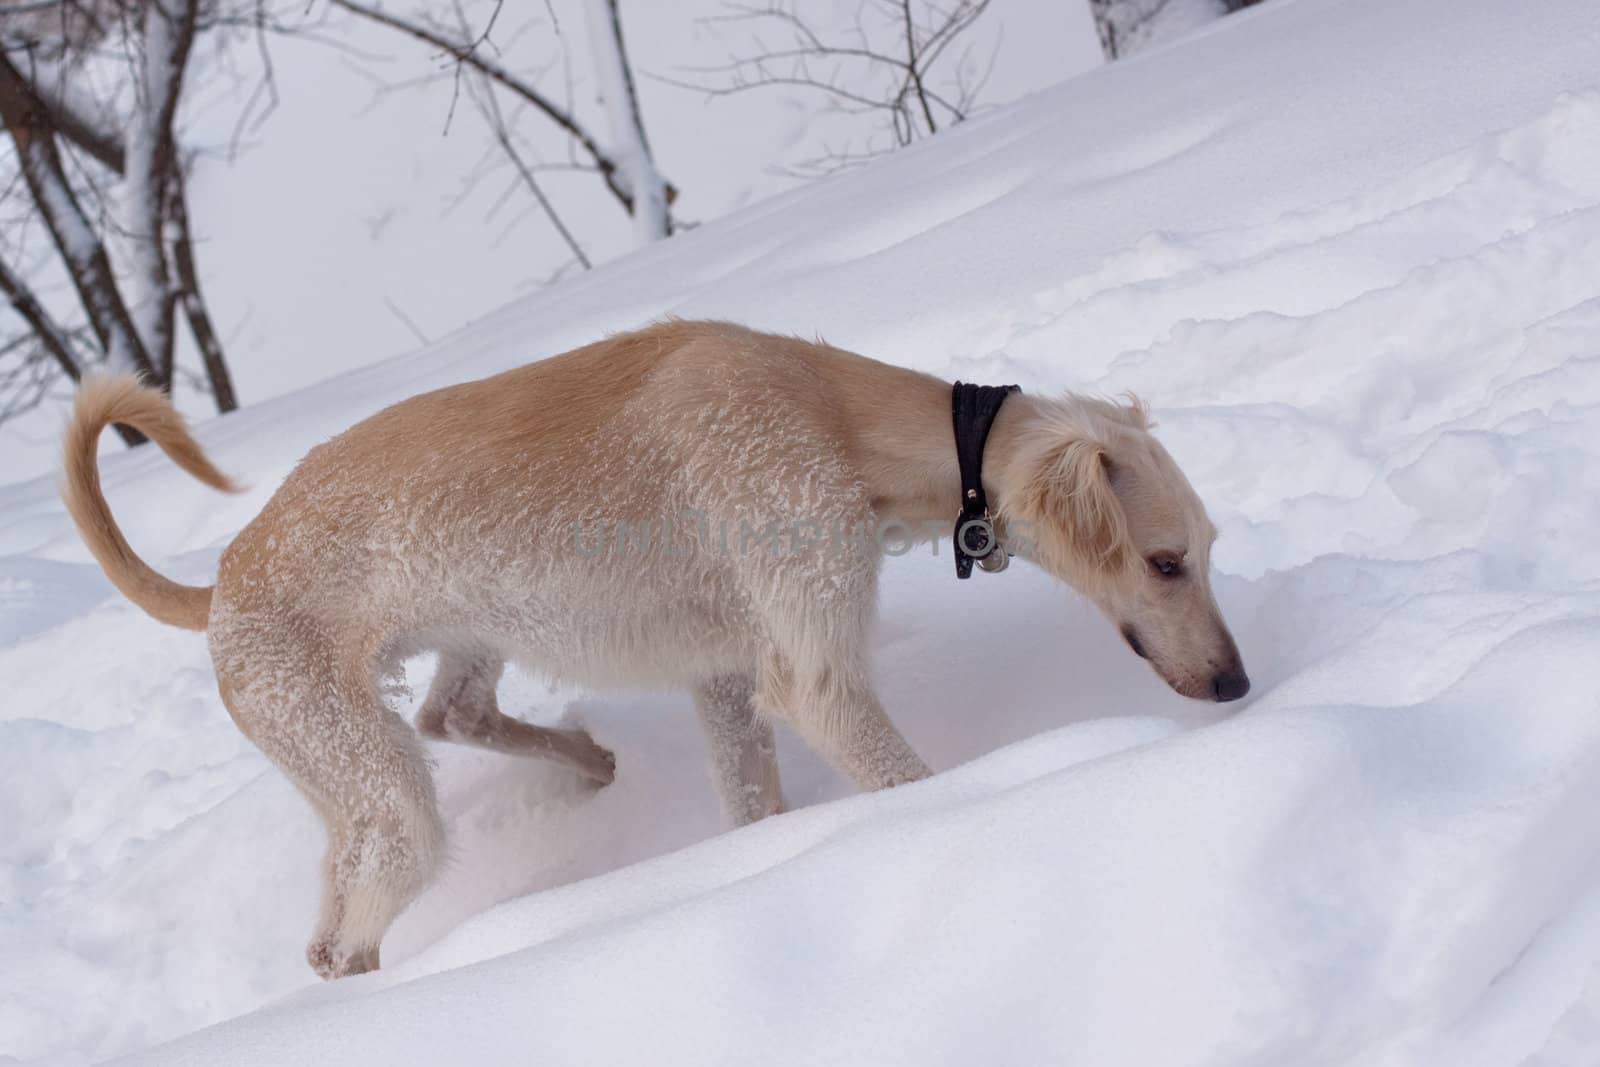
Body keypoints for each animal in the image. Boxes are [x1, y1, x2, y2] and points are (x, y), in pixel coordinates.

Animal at [65, 321, 1248, 979]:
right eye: (1164, 561)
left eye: (1206, 548)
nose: (1238, 683)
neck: (829, 412)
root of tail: (222, 580)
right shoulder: (812, 673)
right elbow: (900, 774)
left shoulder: (724, 677)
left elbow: (754, 808)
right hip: (378, 788)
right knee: (348, 938)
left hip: (434, 676)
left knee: (447, 721)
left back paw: (588, 761)